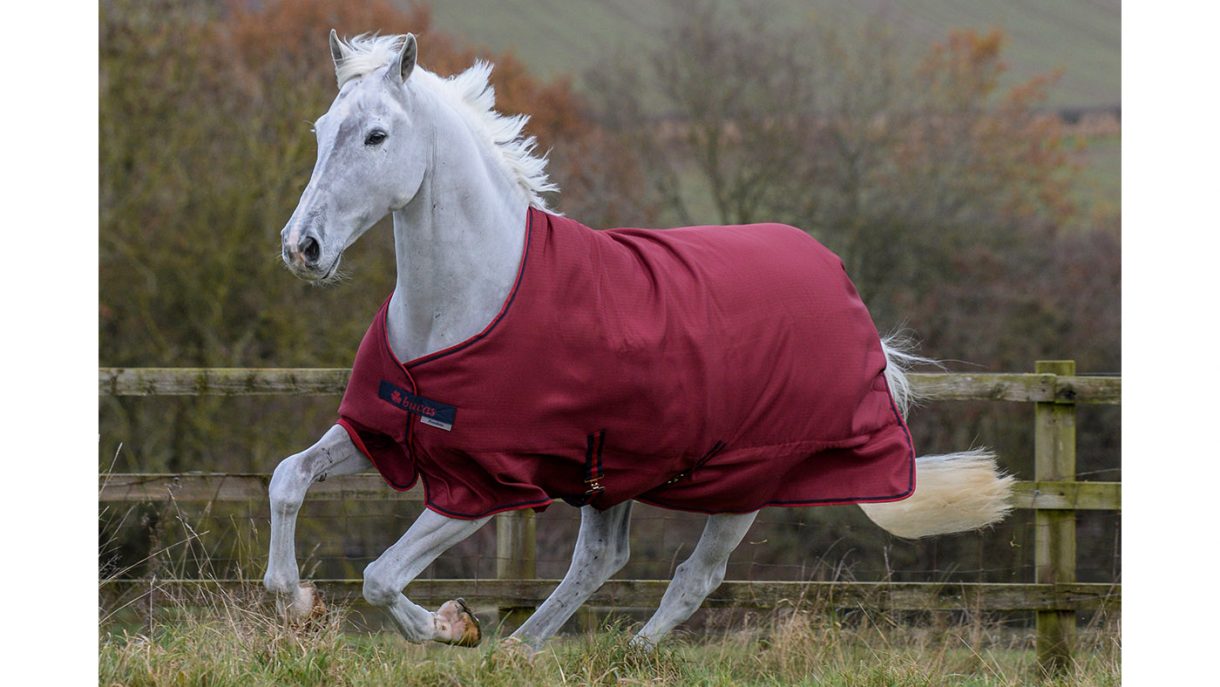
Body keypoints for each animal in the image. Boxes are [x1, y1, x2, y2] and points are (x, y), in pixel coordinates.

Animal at [263, 31, 1013, 651]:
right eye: (323, 128)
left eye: (377, 136)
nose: (302, 247)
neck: (465, 302)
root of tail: (843, 287)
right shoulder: (383, 432)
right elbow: (287, 479)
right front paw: (299, 600)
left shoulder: (485, 485)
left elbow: (381, 576)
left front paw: (452, 625)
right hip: (610, 476)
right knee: (601, 559)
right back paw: (521, 649)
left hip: (743, 485)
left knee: (694, 576)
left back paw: (622, 651)